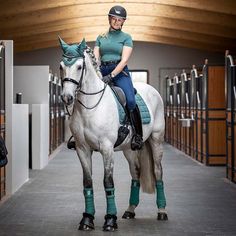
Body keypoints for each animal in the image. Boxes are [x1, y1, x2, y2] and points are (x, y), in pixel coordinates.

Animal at [59, 37, 168, 231]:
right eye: (61, 66)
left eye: (79, 66)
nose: (67, 97)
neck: (91, 106)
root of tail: (152, 90)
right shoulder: (82, 149)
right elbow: (87, 183)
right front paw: (87, 219)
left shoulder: (107, 149)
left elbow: (108, 182)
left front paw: (110, 220)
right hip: (129, 149)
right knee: (136, 172)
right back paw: (130, 210)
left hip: (156, 139)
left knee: (158, 172)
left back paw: (162, 211)